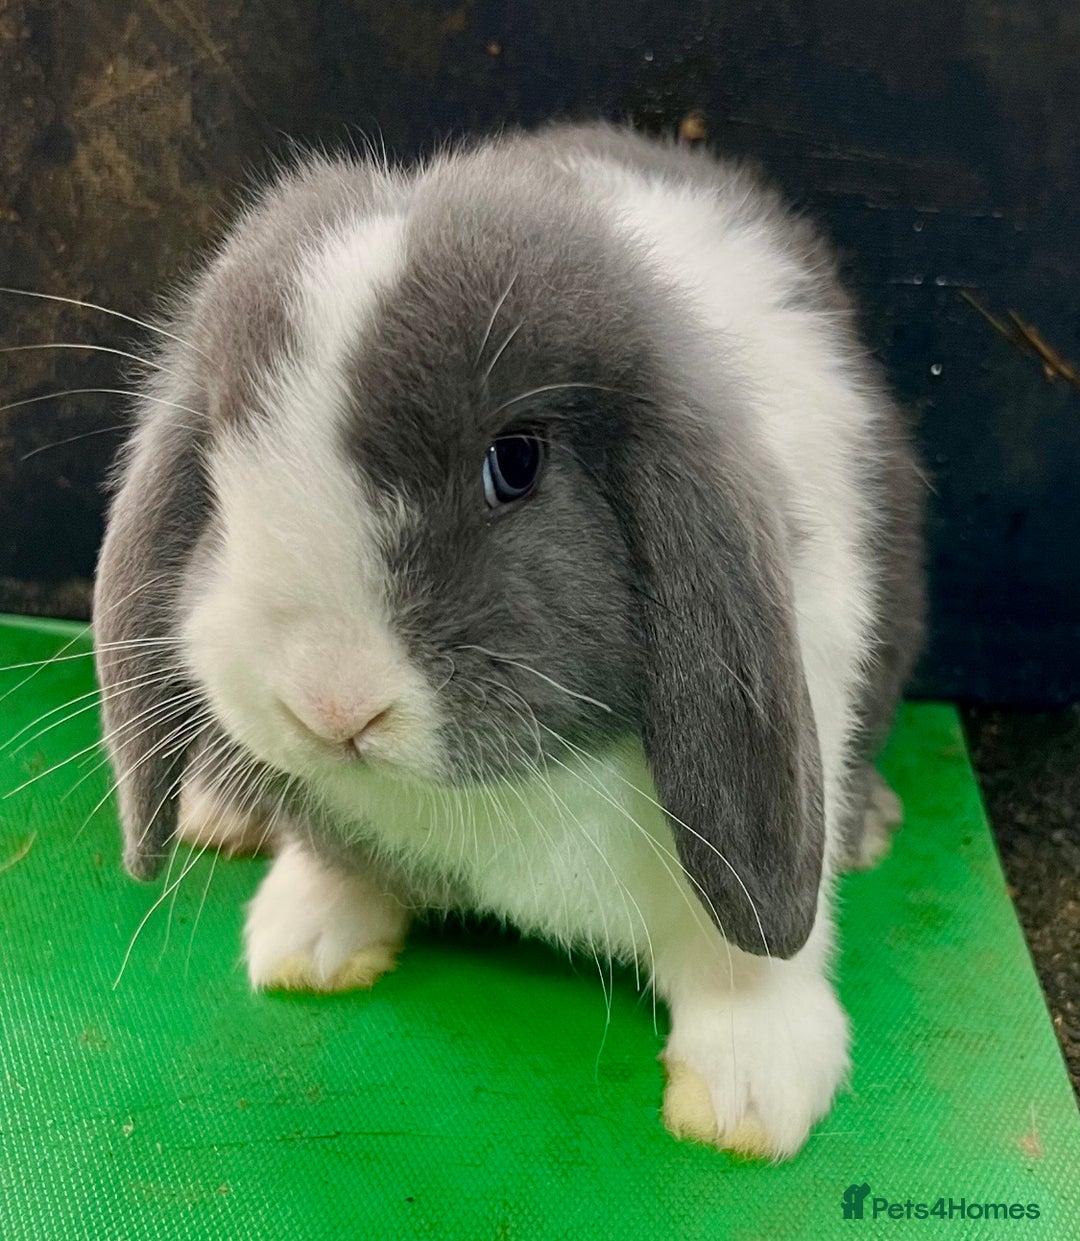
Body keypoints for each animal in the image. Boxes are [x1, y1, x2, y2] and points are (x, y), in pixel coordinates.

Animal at [93, 121, 925, 1161]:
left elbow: (753, 954)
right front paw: (306, 938)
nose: (331, 703)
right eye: (217, 464)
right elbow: (334, 861)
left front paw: (750, 1094)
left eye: (516, 462)